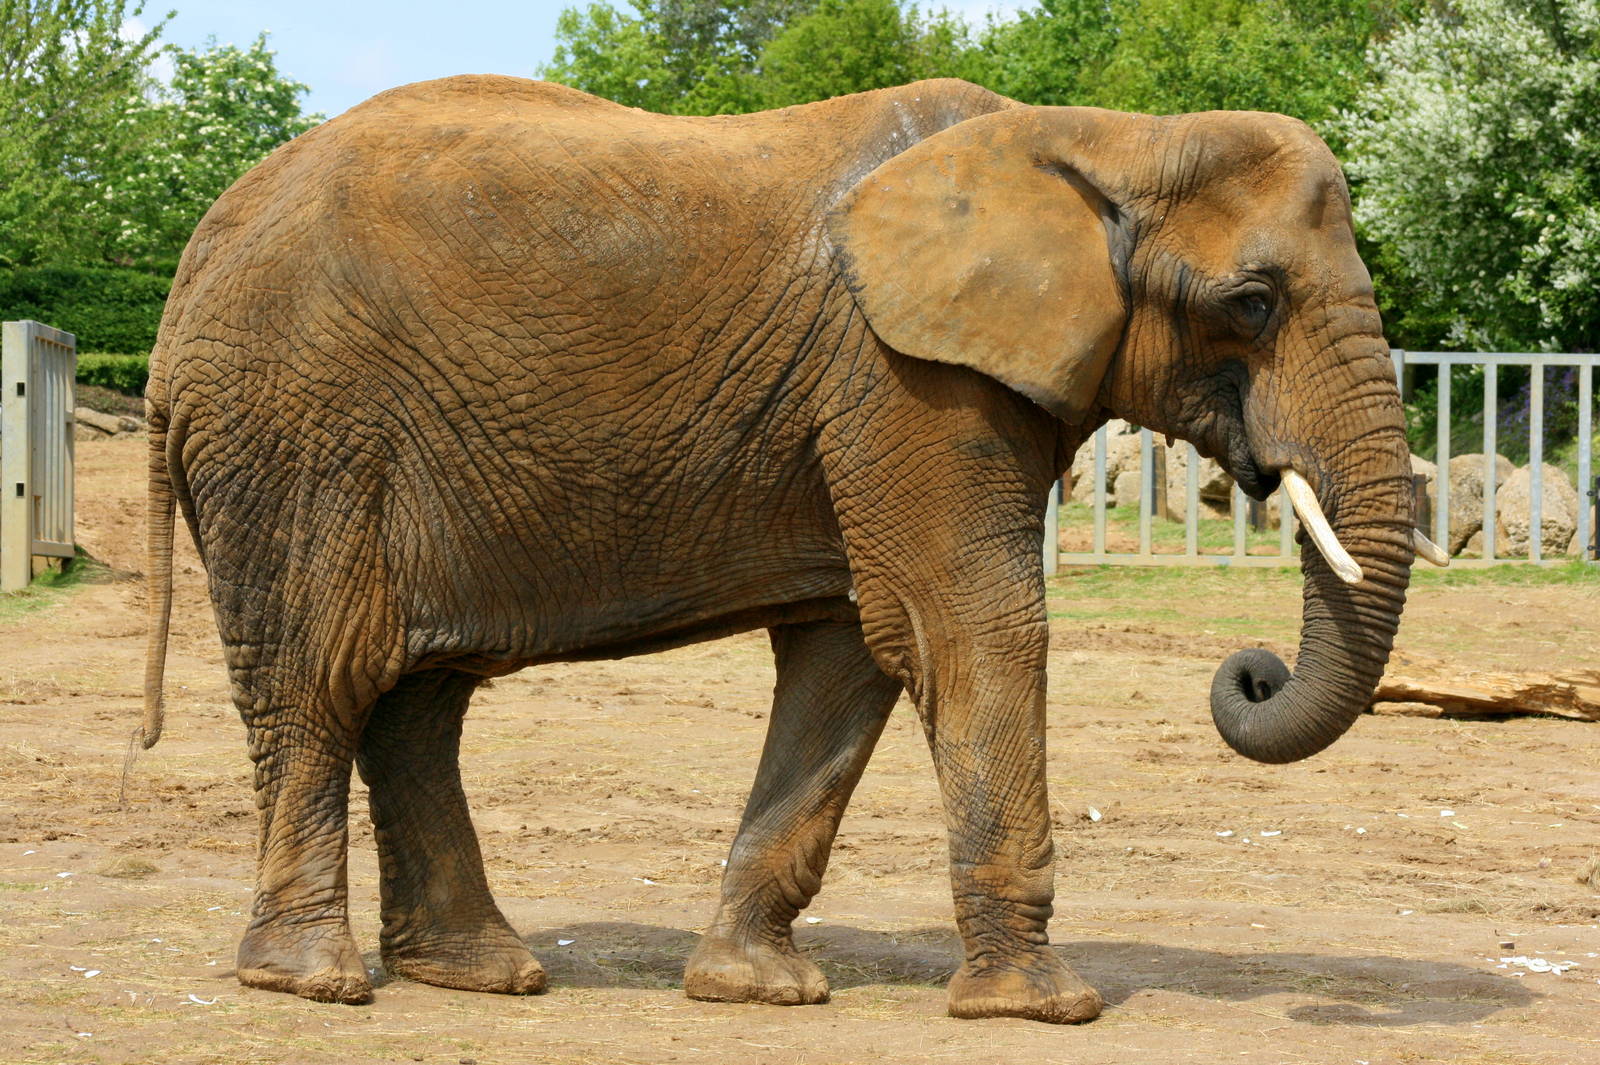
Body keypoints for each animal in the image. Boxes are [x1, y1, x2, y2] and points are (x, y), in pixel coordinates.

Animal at [141, 75, 1427, 1023]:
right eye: (1252, 303)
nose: (1248, 670)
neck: (1107, 139)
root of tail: (189, 269)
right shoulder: (905, 377)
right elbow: (971, 622)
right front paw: (1043, 1006)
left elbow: (847, 659)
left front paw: (754, 989)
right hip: (297, 430)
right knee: (323, 680)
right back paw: (313, 982)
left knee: (418, 701)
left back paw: (481, 974)